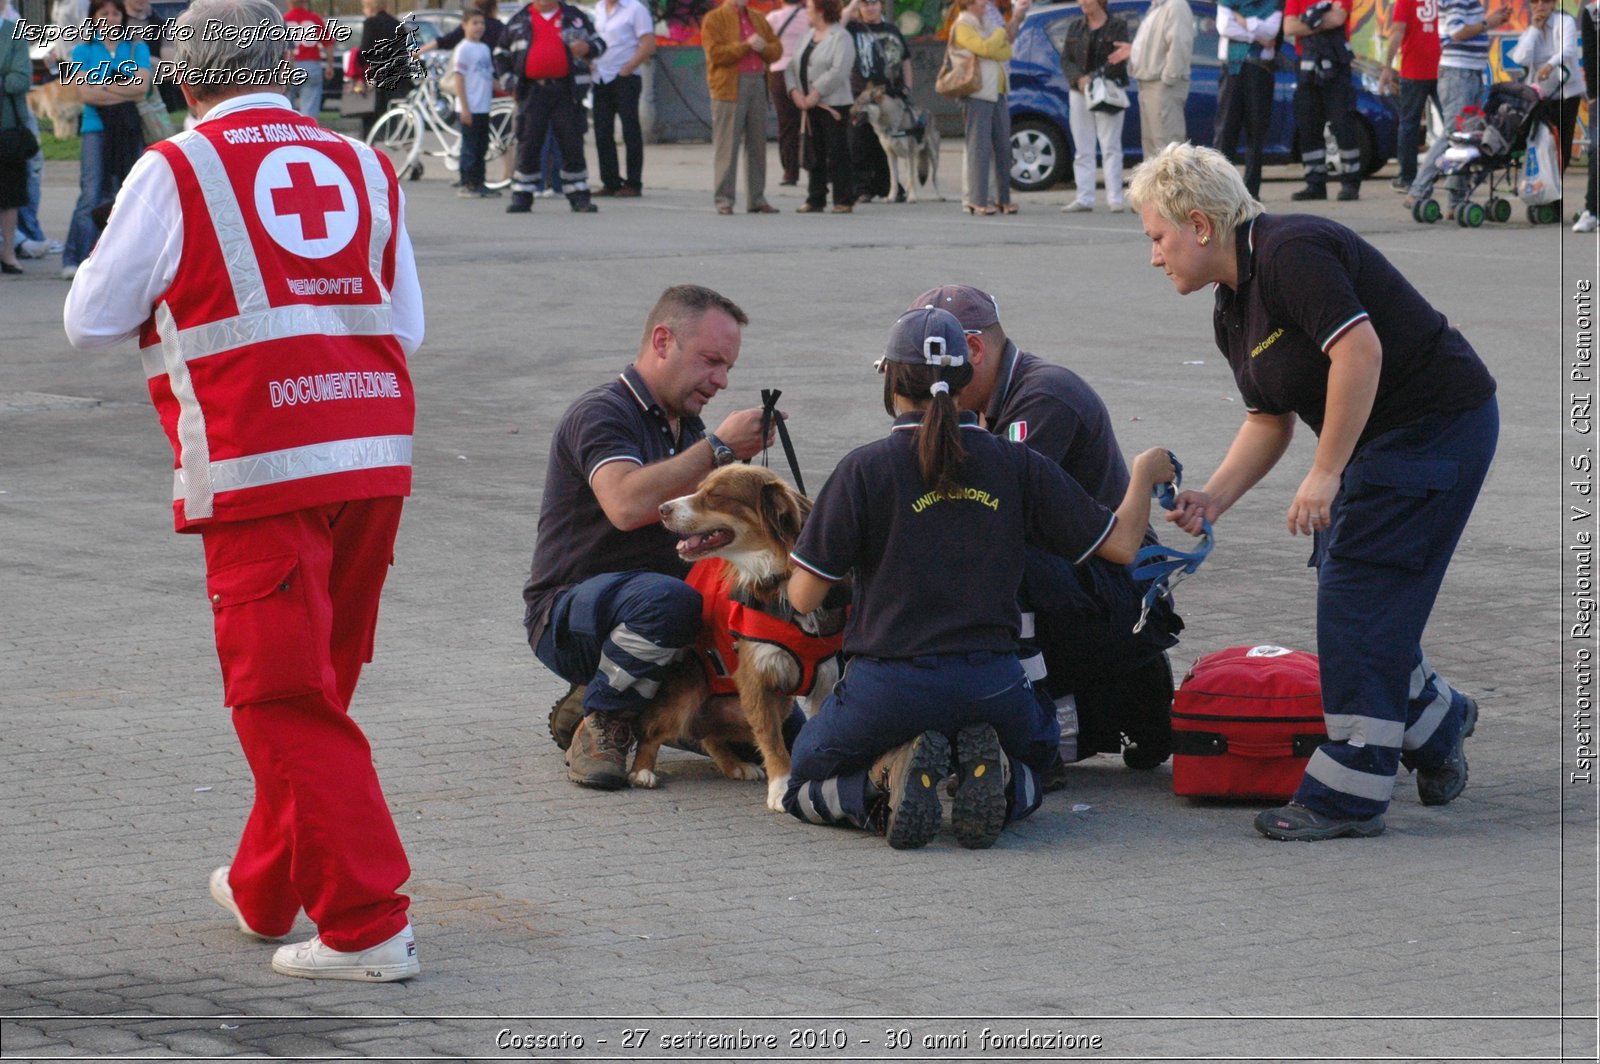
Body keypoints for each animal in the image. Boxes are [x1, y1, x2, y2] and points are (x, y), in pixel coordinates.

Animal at [640, 464, 851, 806]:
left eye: (715, 495)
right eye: (700, 488)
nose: (661, 508)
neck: (781, 580)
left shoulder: (825, 677)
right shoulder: (756, 679)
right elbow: (773, 742)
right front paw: (781, 787)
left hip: (773, 707)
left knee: (707, 735)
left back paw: (735, 765)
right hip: (687, 694)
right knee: (652, 728)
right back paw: (642, 771)